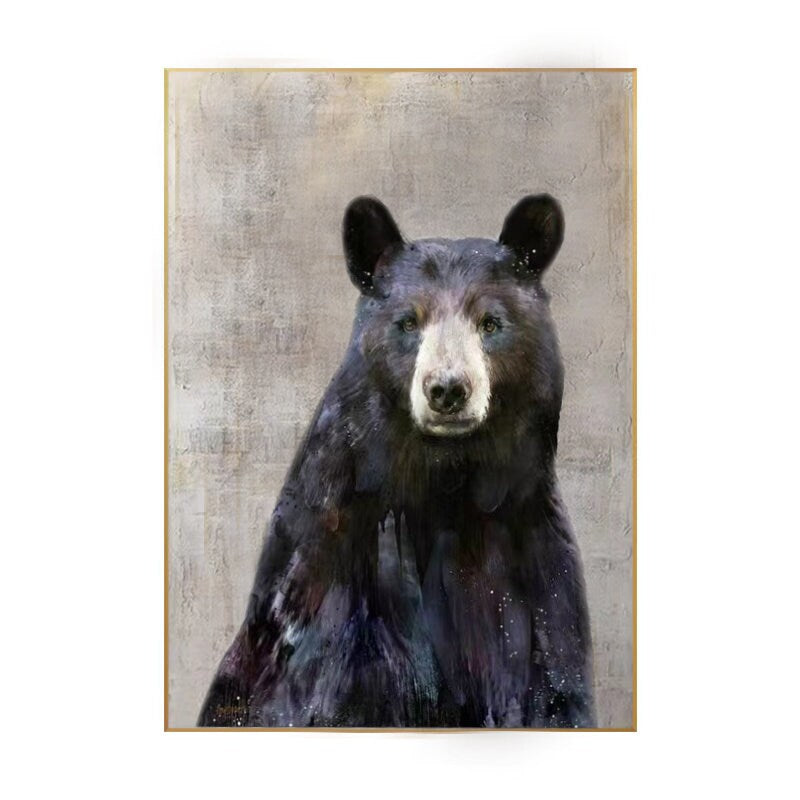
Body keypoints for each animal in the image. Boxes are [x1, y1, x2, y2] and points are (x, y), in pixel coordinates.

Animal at [197, 195, 596, 728]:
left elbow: (553, 685)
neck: (445, 485)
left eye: (491, 323)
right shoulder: (328, 576)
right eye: (408, 322)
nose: (447, 389)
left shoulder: (535, 570)